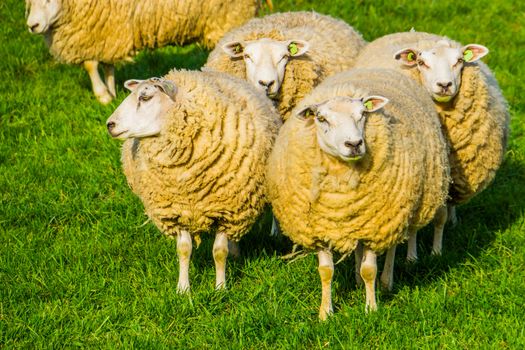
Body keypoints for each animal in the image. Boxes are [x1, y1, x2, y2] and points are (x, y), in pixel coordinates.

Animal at [25, 0, 270, 104]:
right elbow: (106, 64)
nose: (32, 26)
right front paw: (111, 92)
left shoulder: (94, 31)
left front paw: (102, 95)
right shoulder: (108, 33)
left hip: (230, 16)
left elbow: (90, 64)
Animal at [104, 69, 280, 292]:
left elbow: (219, 252)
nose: (110, 125)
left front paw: (220, 288)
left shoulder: (226, 210)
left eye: (145, 97)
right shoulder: (176, 209)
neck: (186, 180)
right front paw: (183, 289)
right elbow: (184, 249)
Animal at [268, 69, 448, 320]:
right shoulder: (319, 228)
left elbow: (369, 269)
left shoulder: (375, 224)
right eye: (321, 118)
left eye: (363, 114)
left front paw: (371, 308)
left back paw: (386, 282)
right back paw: (355, 280)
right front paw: (325, 313)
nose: (354, 144)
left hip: (396, 209)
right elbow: (326, 271)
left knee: (392, 246)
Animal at [354, 31, 510, 260]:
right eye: (421, 63)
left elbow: (440, 216)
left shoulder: (444, 173)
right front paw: (412, 256)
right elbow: (415, 224)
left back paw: (453, 220)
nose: (444, 85)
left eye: (459, 61)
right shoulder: (425, 176)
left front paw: (437, 252)